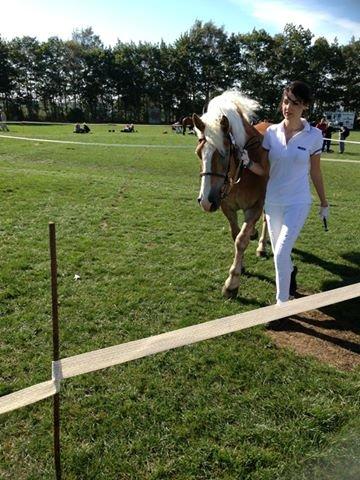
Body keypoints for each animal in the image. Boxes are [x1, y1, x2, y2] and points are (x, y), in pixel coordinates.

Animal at [193, 89, 268, 298]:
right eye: (199, 153)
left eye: (224, 154)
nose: (206, 201)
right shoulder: (227, 206)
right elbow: (236, 235)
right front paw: (240, 266)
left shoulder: (255, 207)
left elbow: (241, 241)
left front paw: (232, 283)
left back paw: (261, 246)